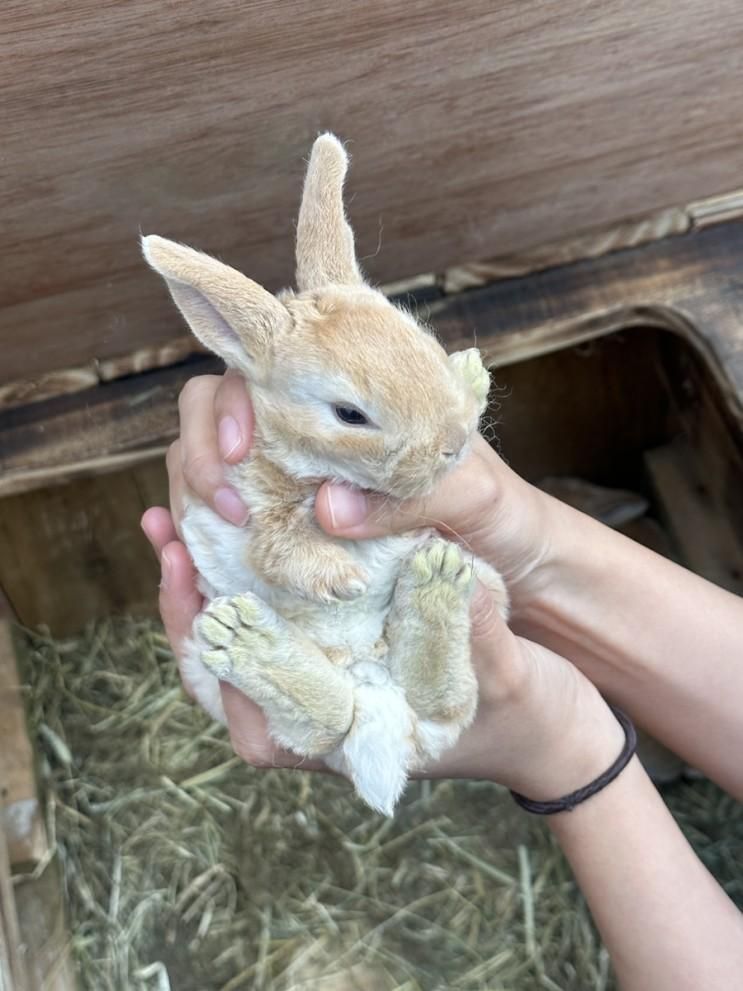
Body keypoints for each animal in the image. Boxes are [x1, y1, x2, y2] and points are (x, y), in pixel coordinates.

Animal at [142, 134, 508, 812]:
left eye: (422, 341)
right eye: (349, 414)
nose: (451, 445)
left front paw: (470, 372)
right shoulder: (254, 507)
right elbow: (279, 548)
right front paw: (343, 580)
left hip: (489, 592)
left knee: (439, 701)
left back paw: (435, 580)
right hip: (231, 677)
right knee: (328, 721)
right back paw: (247, 639)